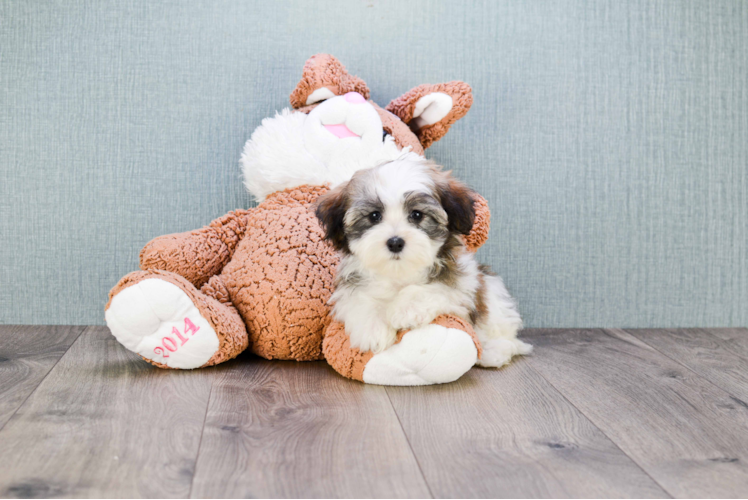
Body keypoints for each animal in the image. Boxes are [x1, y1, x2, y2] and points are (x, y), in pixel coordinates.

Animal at [316, 156, 532, 368]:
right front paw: (372, 330)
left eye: (417, 215)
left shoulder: (462, 281)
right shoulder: (351, 285)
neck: (398, 272)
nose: (395, 242)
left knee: (503, 332)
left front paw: (405, 310)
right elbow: (360, 299)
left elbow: (434, 288)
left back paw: (493, 351)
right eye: (374, 216)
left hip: (493, 293)